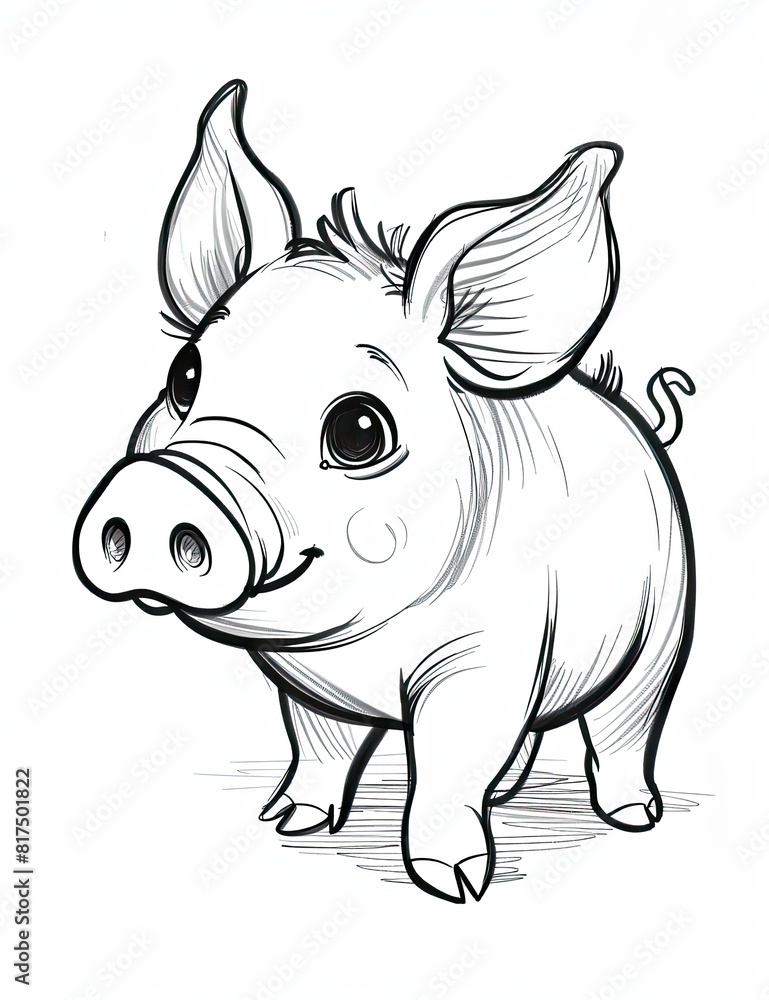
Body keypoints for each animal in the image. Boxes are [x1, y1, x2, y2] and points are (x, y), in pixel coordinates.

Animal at [73, 80, 695, 903]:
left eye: (359, 429)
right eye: (184, 376)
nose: (160, 488)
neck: (359, 649)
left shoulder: (485, 658)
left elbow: (447, 766)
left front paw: (456, 886)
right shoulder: (303, 686)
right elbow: (320, 746)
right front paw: (289, 822)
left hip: (664, 627)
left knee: (628, 723)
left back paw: (633, 816)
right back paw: (508, 794)